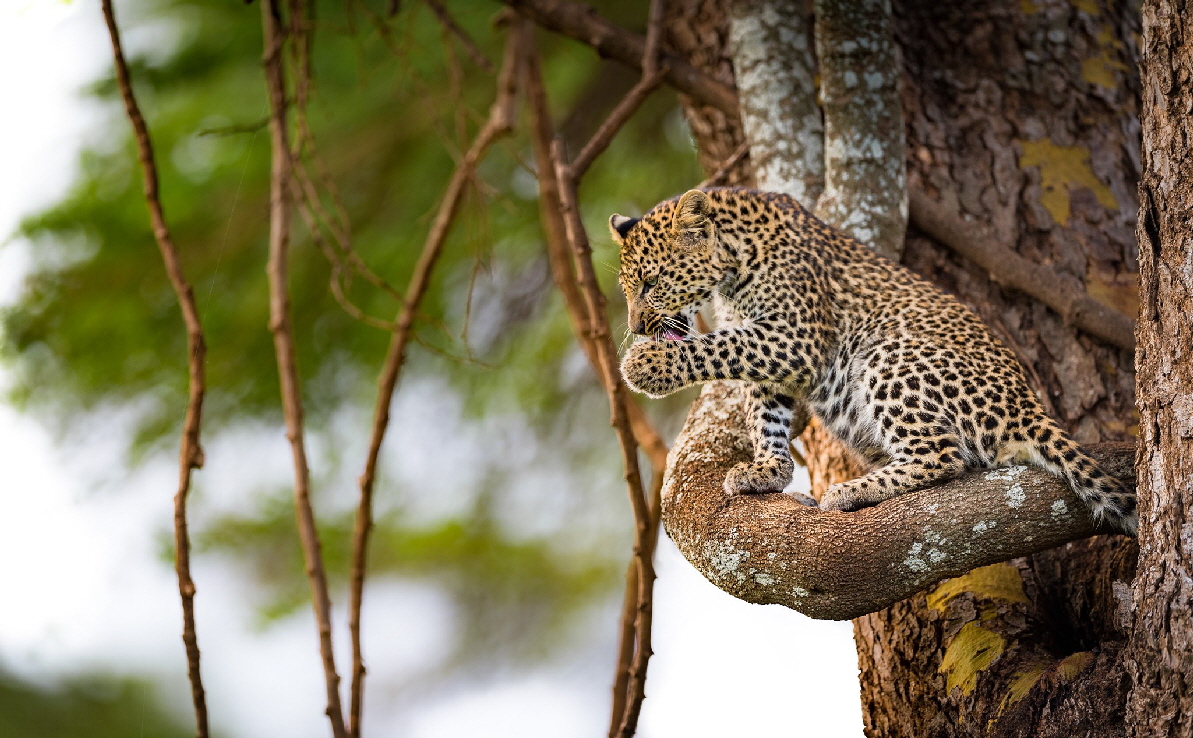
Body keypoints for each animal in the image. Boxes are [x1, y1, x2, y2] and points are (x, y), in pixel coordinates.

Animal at [615, 184, 1135, 534]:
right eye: (627, 290)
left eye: (651, 283)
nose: (636, 327)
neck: (731, 265)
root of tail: (1027, 407)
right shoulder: (772, 354)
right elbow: (765, 412)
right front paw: (766, 470)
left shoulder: (794, 337)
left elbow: (717, 347)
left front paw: (648, 365)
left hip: (887, 354)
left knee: (943, 455)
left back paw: (850, 491)